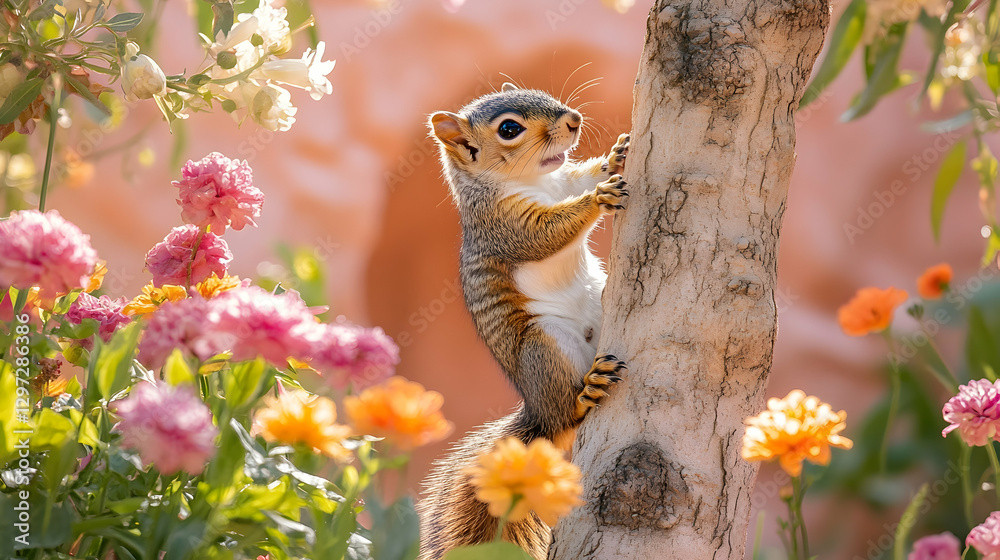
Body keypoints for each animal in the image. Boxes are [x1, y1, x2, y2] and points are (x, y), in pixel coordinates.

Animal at [417, 82, 630, 560]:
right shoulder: (505, 224)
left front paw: (616, 155)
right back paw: (585, 393)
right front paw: (598, 199)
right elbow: (545, 233)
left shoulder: (561, 180)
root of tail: (536, 414)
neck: (535, 181)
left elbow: (580, 176)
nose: (573, 119)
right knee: (567, 415)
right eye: (509, 129)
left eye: (542, 93)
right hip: (545, 346)